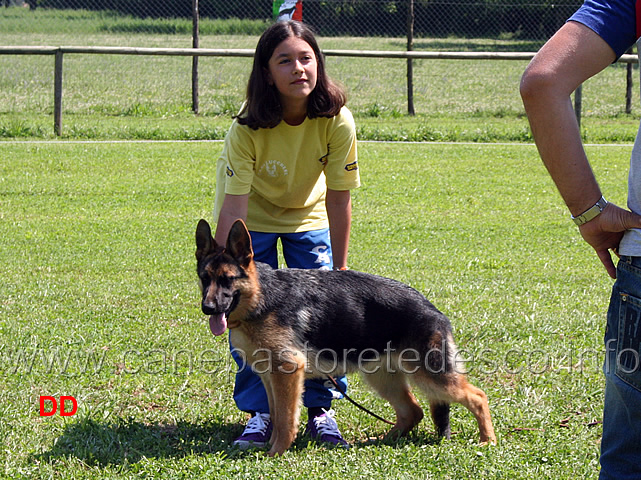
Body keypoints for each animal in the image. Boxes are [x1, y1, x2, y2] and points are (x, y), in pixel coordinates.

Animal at [195, 219, 496, 456]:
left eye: (227, 280)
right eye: (204, 278)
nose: (208, 308)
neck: (260, 298)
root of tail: (432, 309)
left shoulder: (288, 372)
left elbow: (286, 419)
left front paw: (276, 452)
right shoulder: (270, 377)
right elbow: (276, 414)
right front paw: (270, 446)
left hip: (431, 376)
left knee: (478, 397)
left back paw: (487, 441)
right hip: (383, 378)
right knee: (413, 411)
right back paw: (384, 439)